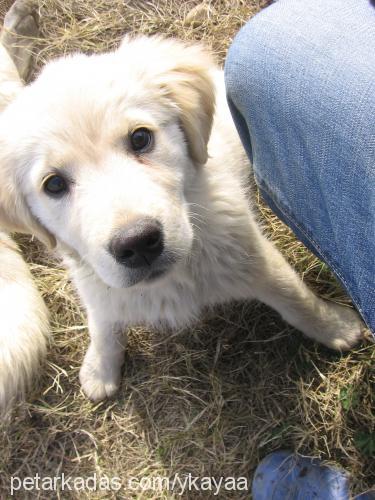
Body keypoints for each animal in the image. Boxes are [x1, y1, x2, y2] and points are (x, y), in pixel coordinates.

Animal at [0, 35, 364, 402]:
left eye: (140, 138)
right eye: (54, 184)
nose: (138, 243)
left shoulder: (251, 255)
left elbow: (293, 295)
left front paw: (334, 326)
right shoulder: (97, 284)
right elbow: (102, 323)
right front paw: (100, 367)